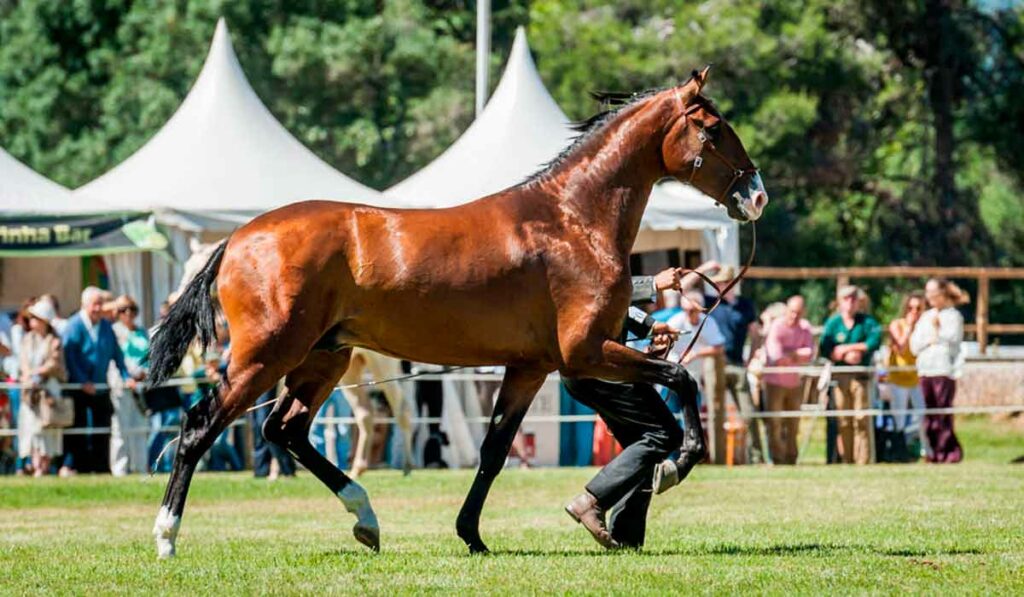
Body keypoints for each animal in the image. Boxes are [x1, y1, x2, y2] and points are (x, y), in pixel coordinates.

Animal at [179, 238, 411, 477]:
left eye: (195, 267)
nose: (176, 295)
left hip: (381, 366)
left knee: (401, 408)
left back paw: (406, 465)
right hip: (351, 372)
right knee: (366, 414)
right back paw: (358, 468)